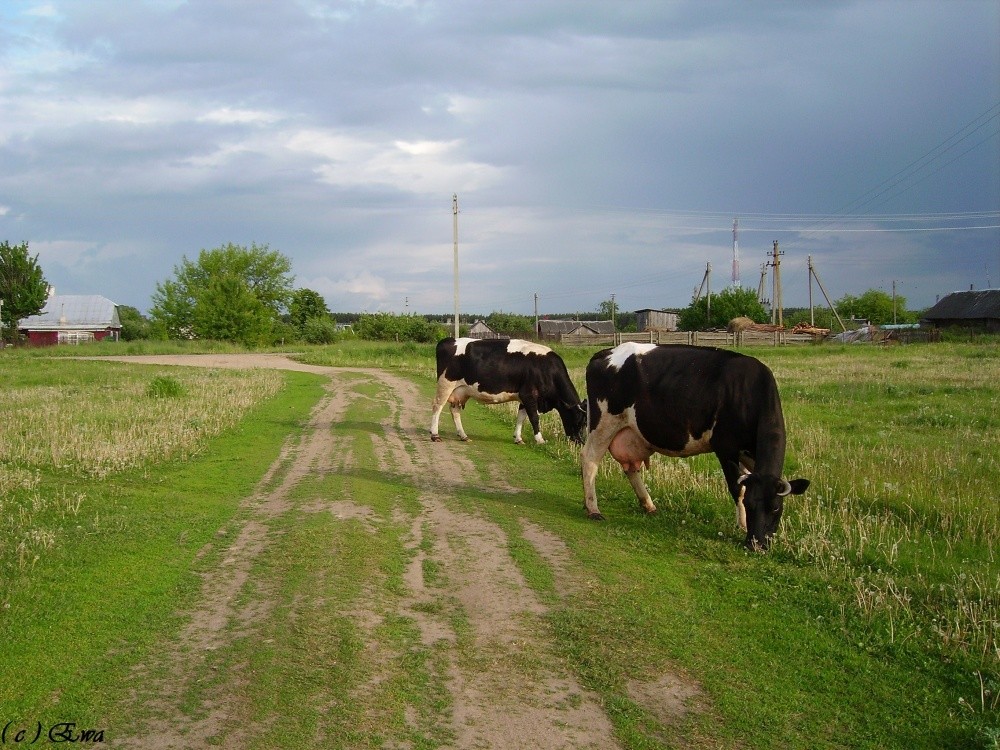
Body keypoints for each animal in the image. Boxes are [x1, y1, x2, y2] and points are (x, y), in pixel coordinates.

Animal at [430, 340, 584, 446]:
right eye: (578, 420)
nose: (581, 442)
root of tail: (448, 340)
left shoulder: (523, 397)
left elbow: (521, 417)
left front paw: (518, 438)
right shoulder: (529, 395)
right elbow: (534, 418)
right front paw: (540, 439)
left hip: (461, 391)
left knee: (454, 410)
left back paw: (463, 436)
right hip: (445, 384)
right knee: (437, 407)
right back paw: (435, 435)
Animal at [584, 346, 808, 552]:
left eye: (776, 508)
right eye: (750, 505)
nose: (756, 545)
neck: (750, 391)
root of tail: (606, 352)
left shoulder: (749, 456)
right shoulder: (726, 448)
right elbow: (737, 488)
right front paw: (743, 526)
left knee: (630, 467)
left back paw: (649, 505)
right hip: (603, 424)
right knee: (590, 460)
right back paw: (593, 508)